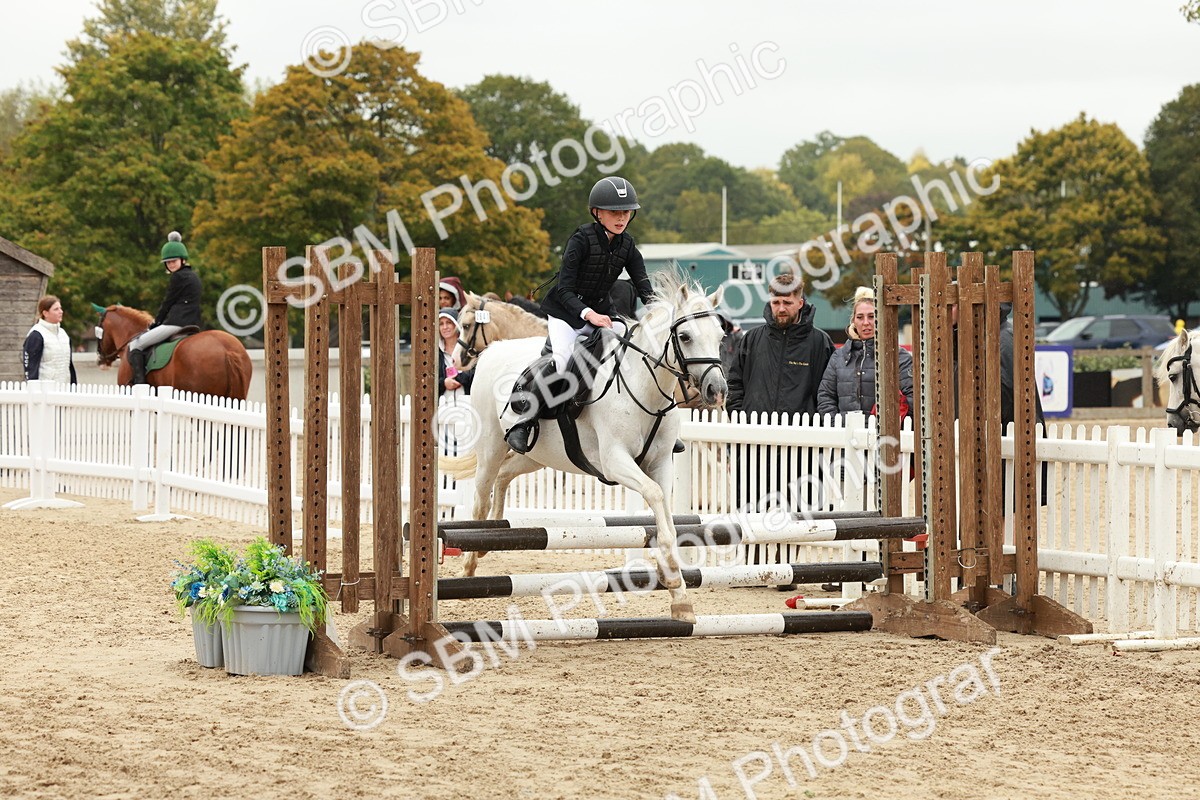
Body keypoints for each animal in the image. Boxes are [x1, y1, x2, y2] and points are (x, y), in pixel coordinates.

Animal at [439, 274, 727, 623]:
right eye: (684, 337)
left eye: (720, 336)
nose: (717, 390)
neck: (645, 386)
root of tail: (494, 350)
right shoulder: (615, 461)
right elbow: (655, 496)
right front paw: (672, 579)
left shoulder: (661, 463)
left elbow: (667, 516)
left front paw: (679, 596)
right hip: (492, 447)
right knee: (481, 496)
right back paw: (471, 561)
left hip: (538, 455)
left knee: (504, 475)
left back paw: (490, 538)